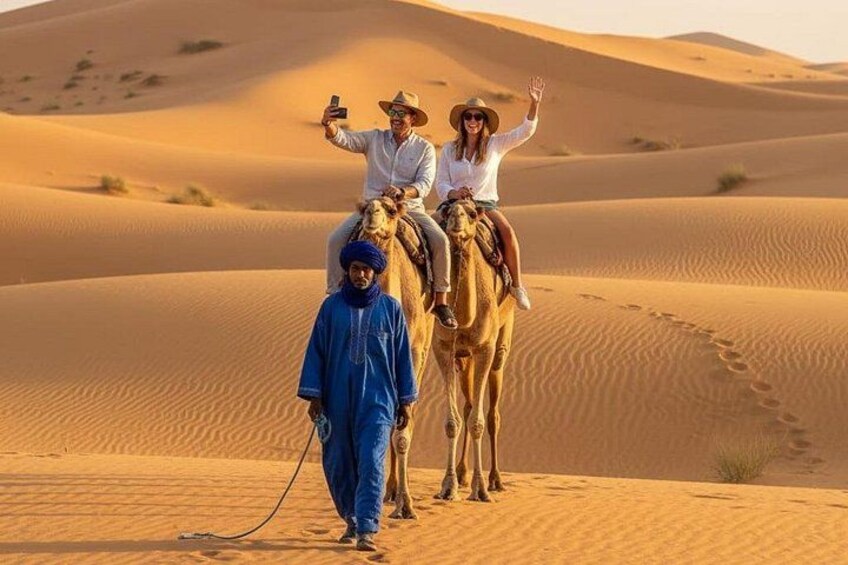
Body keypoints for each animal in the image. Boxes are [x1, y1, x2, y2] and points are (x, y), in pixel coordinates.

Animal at [432, 199, 516, 502]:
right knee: (468, 406)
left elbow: (478, 421)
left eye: (470, 213)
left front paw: (480, 489)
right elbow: (453, 421)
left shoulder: (483, 348)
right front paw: (448, 485)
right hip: (463, 359)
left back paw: (495, 480)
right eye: (447, 212)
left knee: (492, 414)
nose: (456, 218)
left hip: (502, 338)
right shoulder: (444, 349)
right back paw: (462, 472)